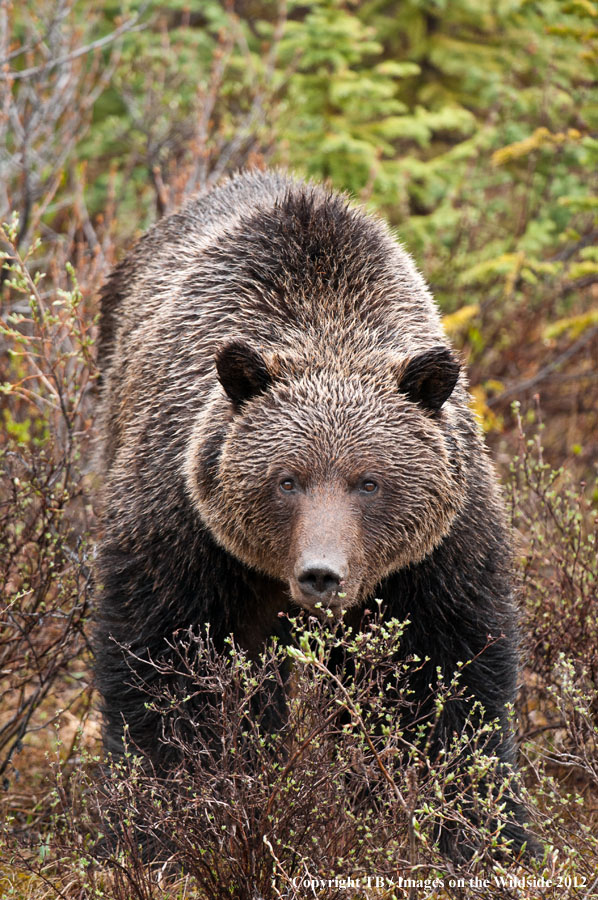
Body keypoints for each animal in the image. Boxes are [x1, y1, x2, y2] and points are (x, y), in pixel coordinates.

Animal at [96, 171, 532, 856]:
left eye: (369, 482)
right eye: (287, 480)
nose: (321, 574)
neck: (327, 319)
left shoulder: (437, 557)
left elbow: (445, 681)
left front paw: (480, 832)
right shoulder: (185, 530)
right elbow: (163, 665)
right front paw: (162, 823)